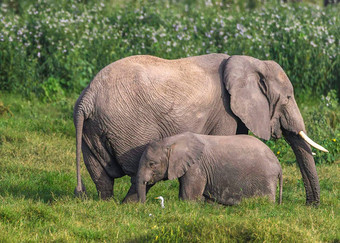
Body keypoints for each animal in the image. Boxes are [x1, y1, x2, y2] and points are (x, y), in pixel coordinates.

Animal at [137, 133, 282, 205]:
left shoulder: (196, 167)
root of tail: (278, 164)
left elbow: (189, 197)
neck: (172, 141)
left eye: (152, 164)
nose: (143, 206)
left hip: (265, 179)